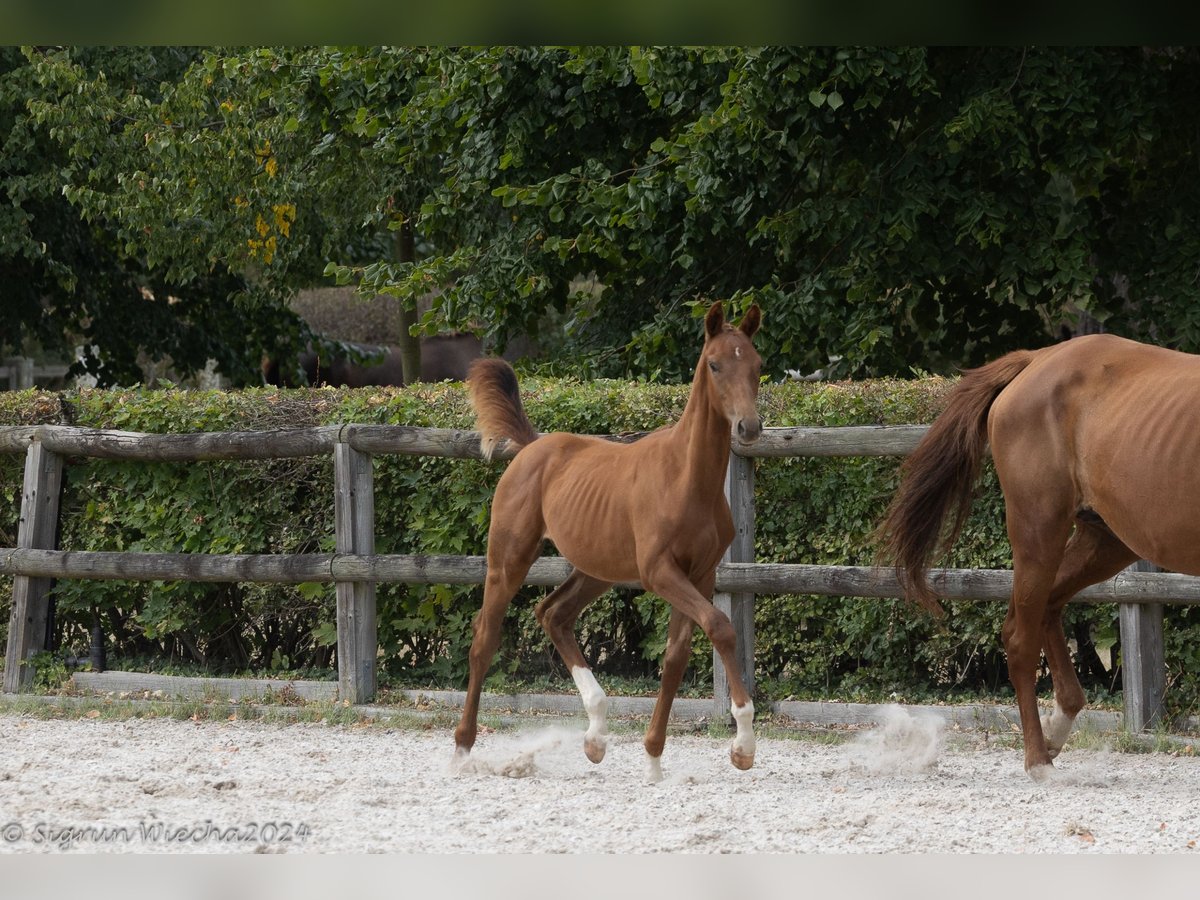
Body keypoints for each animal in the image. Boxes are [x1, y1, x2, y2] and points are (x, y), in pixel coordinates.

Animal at [453, 303, 763, 782]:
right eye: (715, 365)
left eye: (757, 365)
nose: (749, 426)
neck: (687, 478)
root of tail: (531, 448)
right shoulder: (659, 572)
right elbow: (721, 627)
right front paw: (743, 745)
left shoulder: (701, 574)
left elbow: (676, 656)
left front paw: (653, 760)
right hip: (508, 559)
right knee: (485, 637)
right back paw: (463, 749)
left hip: (598, 569)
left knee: (553, 614)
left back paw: (596, 735)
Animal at [878, 336, 1200, 782]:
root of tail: (1037, 359)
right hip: (1039, 532)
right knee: (1020, 636)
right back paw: (1038, 760)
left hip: (1104, 541)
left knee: (1049, 606)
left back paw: (1056, 729)